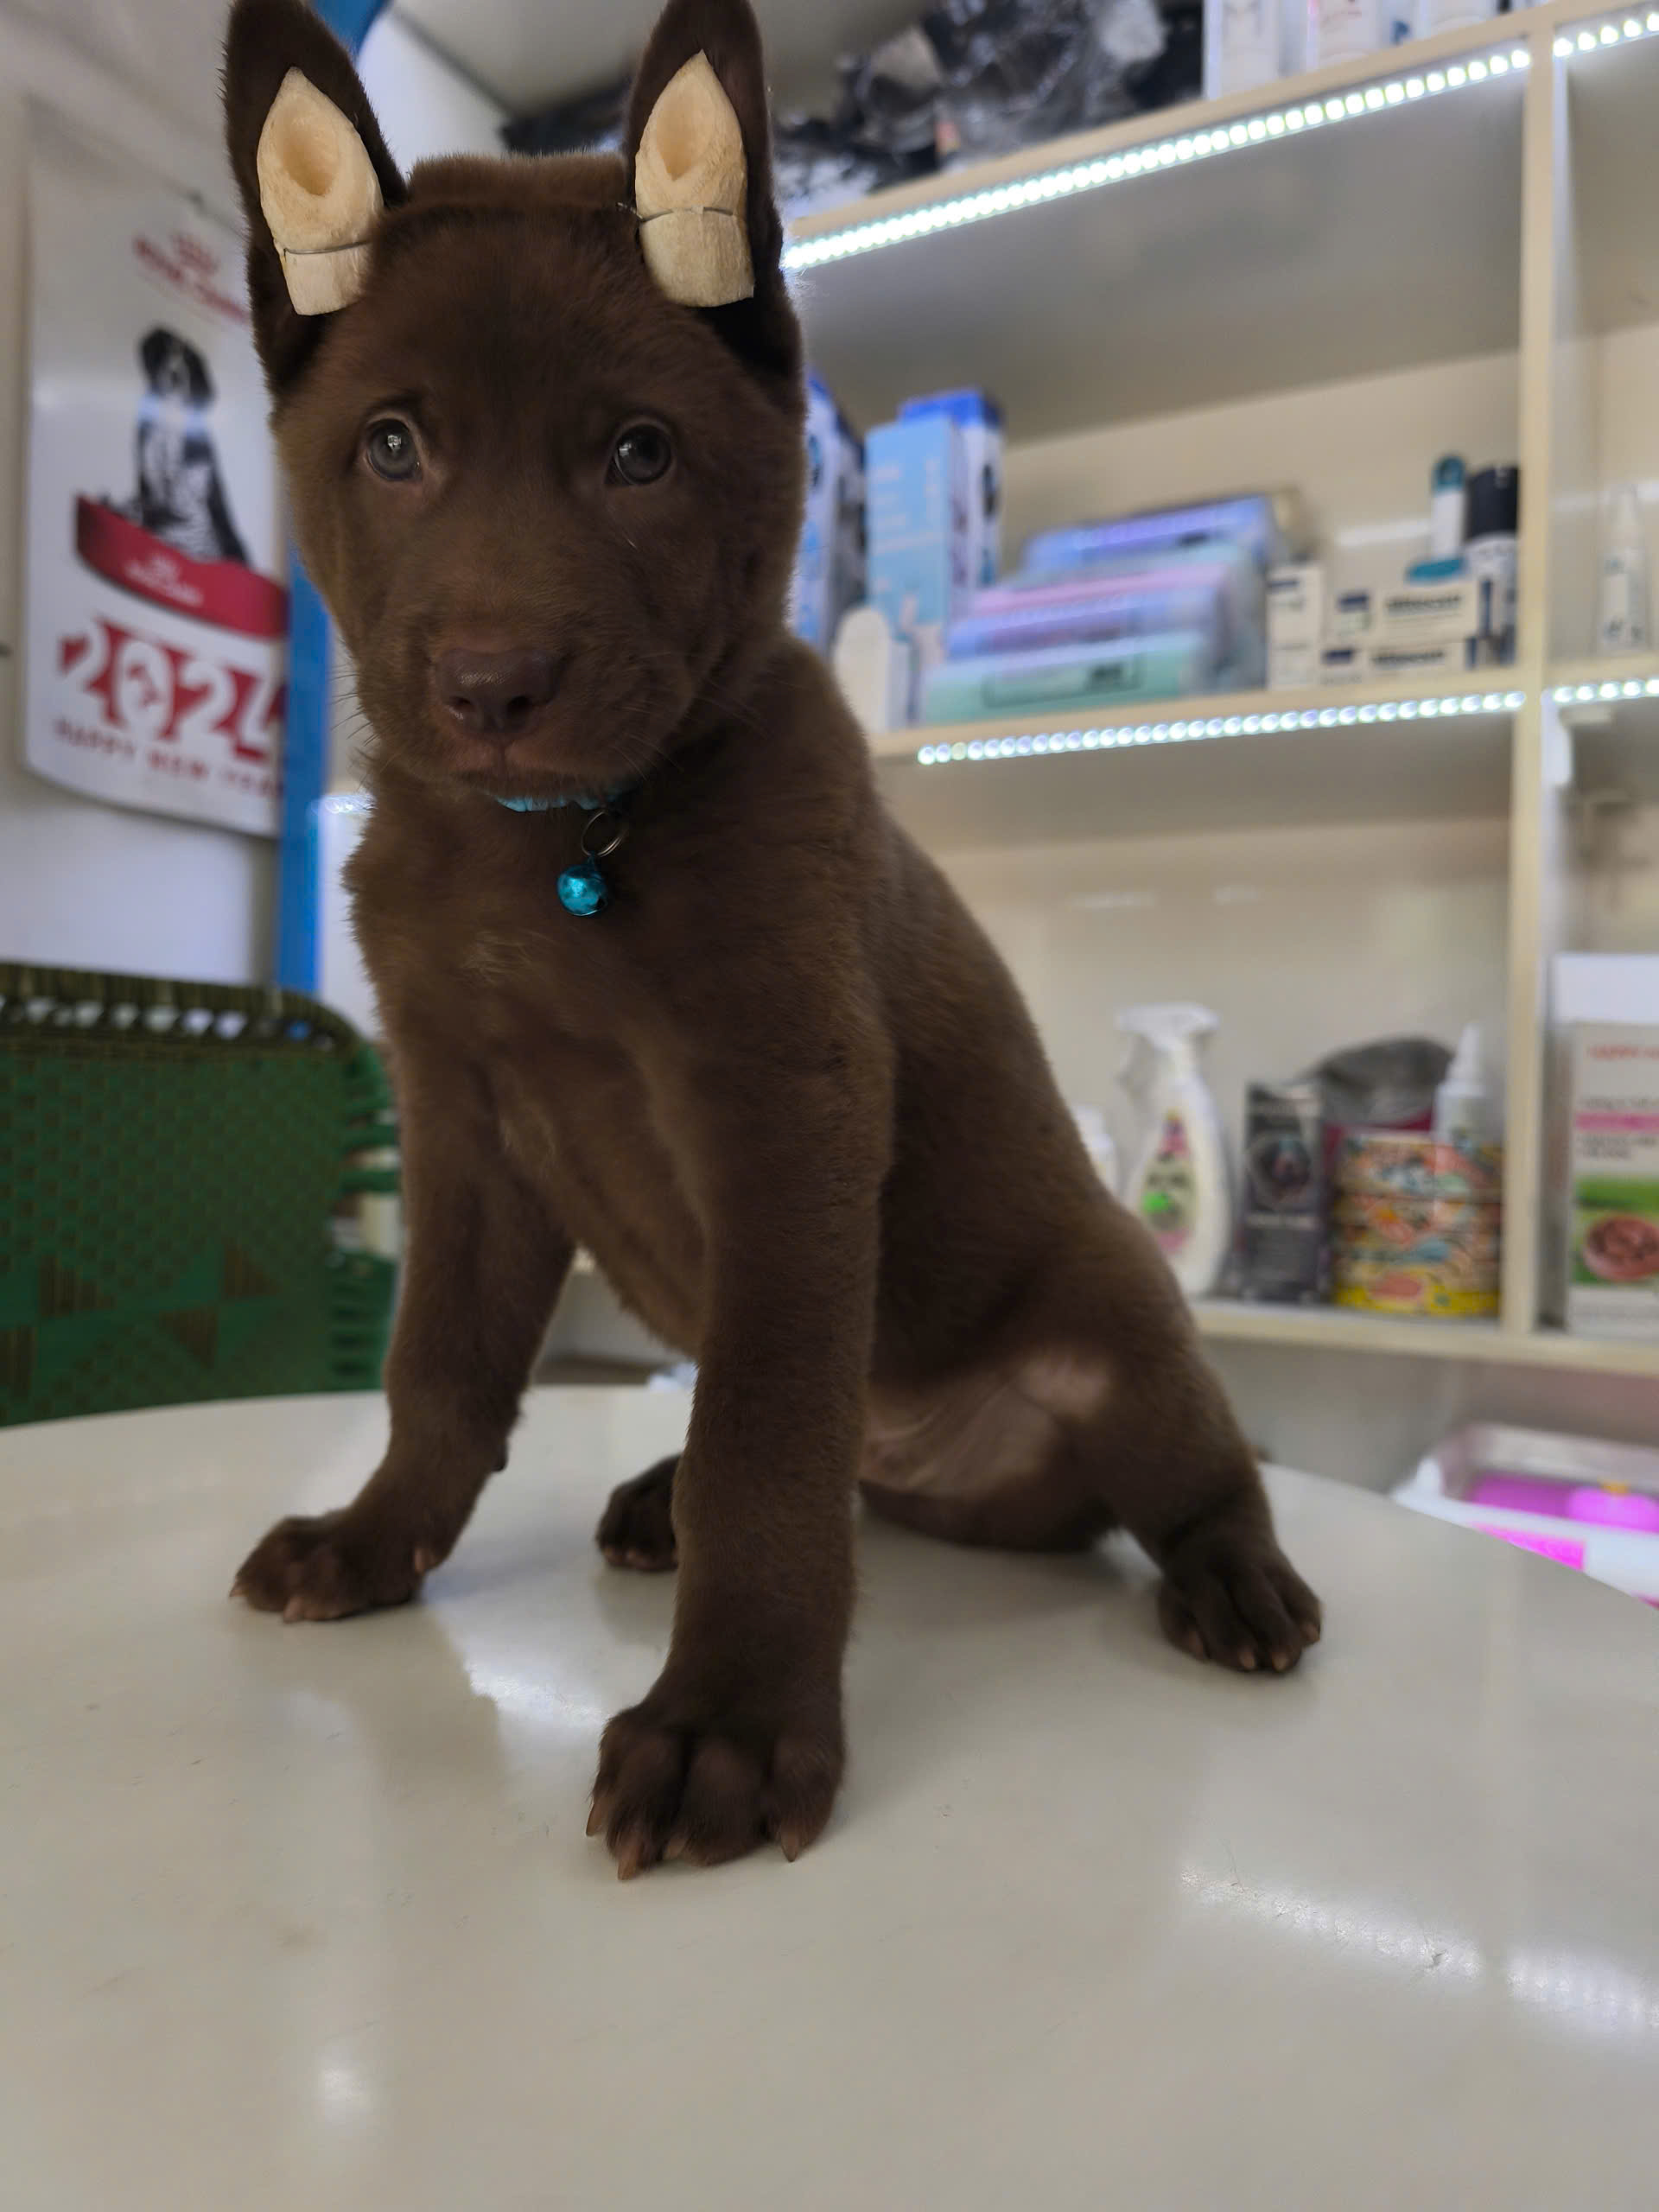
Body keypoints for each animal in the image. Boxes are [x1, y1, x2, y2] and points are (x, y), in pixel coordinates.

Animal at [223, 0, 1320, 1877]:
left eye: (640, 454)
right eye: (392, 446)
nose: (493, 687)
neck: (560, 845)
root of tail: (952, 1468)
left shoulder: (786, 1106)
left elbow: (763, 1432)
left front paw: (727, 1721)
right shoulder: (464, 1125)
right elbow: (441, 1369)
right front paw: (373, 1543)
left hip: (1120, 1325)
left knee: (1184, 1471)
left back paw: (1239, 1578)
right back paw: (655, 1498)